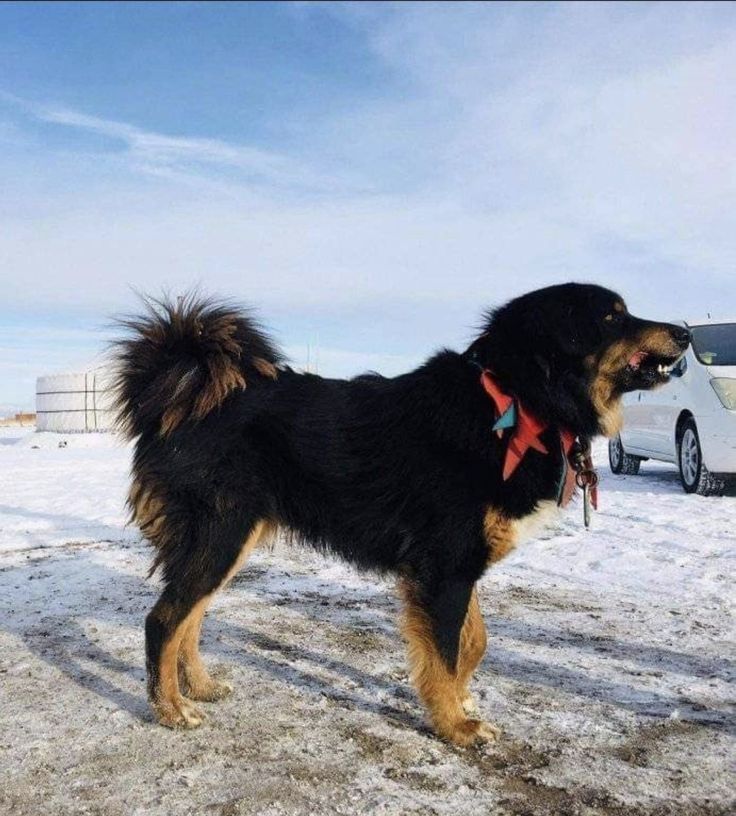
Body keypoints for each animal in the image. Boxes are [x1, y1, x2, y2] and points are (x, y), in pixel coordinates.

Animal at [112, 282, 688, 744]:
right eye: (612, 317)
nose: (684, 333)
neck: (516, 401)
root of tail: (176, 396)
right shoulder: (445, 566)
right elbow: (447, 648)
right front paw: (455, 726)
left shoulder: (453, 566)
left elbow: (472, 641)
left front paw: (461, 700)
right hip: (221, 534)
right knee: (164, 620)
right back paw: (171, 710)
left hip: (229, 541)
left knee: (190, 617)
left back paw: (200, 688)